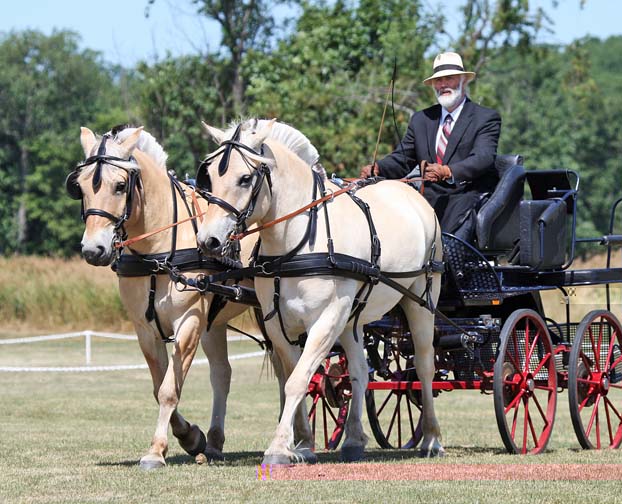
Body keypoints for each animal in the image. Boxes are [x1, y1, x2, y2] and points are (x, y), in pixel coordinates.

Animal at [64, 126, 260, 468]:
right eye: (82, 186)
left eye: (120, 185)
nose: (93, 250)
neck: (157, 253)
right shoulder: (145, 329)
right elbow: (160, 388)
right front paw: (191, 437)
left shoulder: (189, 323)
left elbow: (170, 389)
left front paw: (156, 451)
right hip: (214, 323)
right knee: (223, 374)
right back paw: (214, 443)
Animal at [195, 118, 444, 464]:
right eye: (210, 177)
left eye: (245, 178)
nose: (208, 240)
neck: (297, 242)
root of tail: (411, 193)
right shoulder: (278, 323)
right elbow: (293, 378)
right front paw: (301, 444)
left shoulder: (325, 319)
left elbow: (298, 380)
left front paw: (278, 448)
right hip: (353, 318)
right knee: (359, 371)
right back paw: (353, 439)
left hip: (420, 301)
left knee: (423, 367)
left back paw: (432, 439)